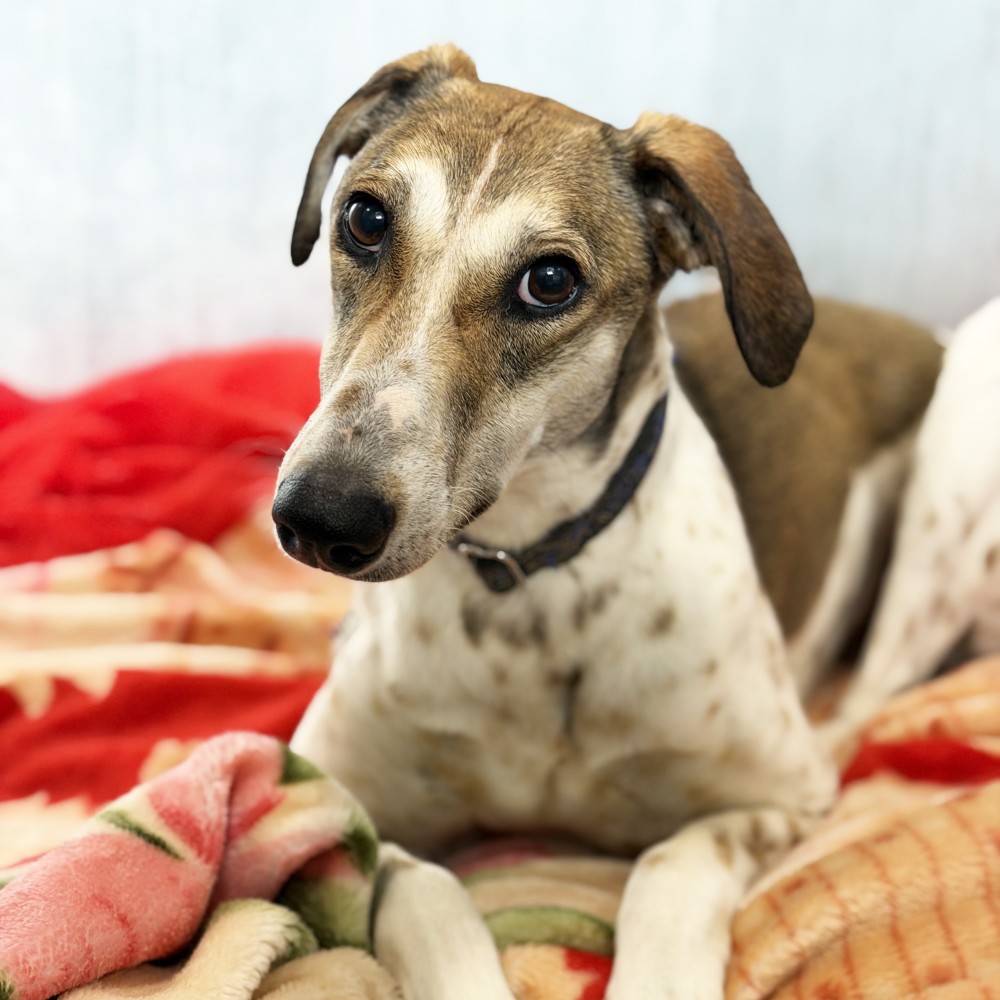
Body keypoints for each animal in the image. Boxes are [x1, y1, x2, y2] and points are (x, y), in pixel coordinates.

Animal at [271, 44, 995, 998]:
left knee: (871, 699)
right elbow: (423, 885)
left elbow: (669, 861)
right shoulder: (330, 801)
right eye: (364, 218)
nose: (320, 516)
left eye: (549, 281)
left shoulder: (782, 796)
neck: (528, 575)